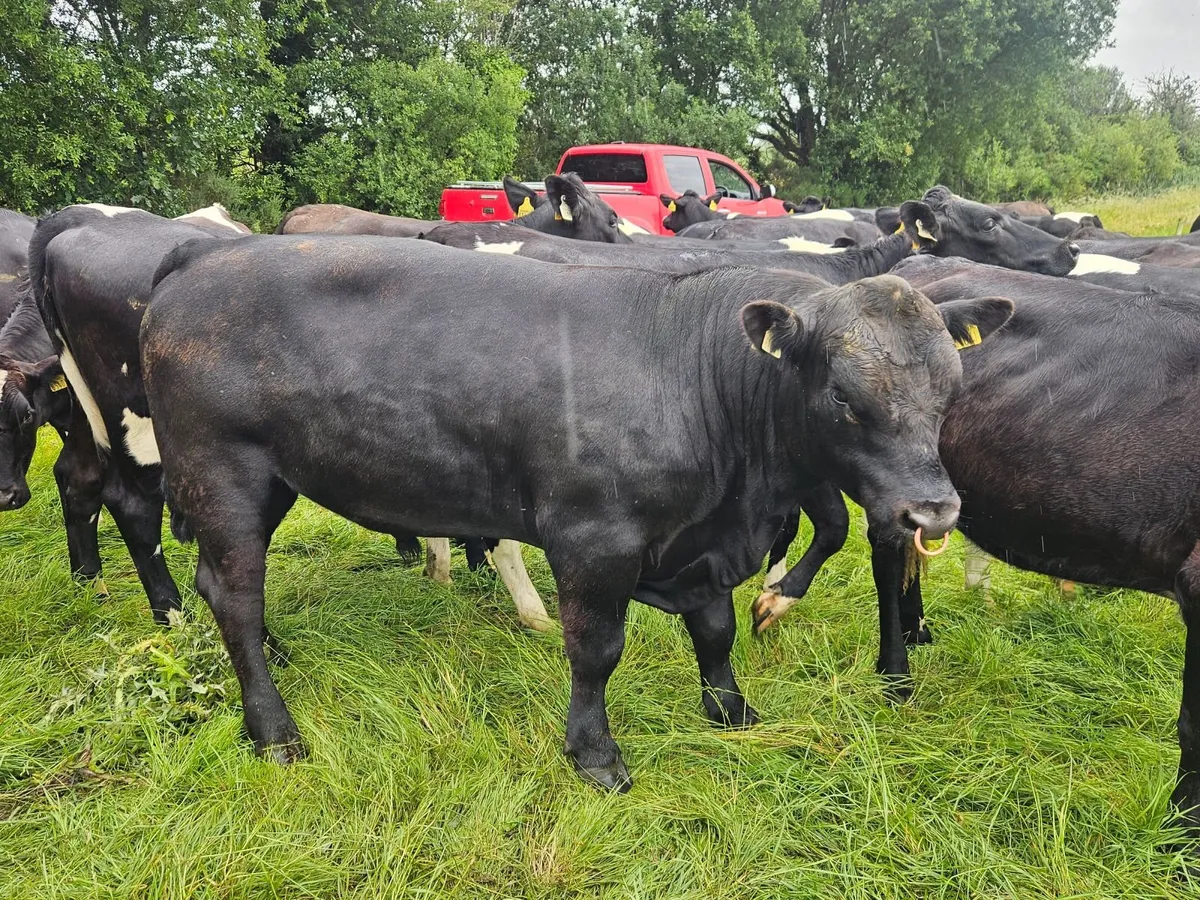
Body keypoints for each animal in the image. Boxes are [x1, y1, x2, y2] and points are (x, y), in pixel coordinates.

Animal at [142, 234, 1011, 789]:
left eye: (950, 388)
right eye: (842, 397)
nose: (932, 514)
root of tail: (203, 254)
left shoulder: (700, 549)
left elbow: (716, 630)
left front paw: (731, 711)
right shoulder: (595, 540)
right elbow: (596, 651)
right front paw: (594, 754)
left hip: (263, 481)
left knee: (223, 587)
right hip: (222, 471)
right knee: (235, 593)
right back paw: (274, 731)